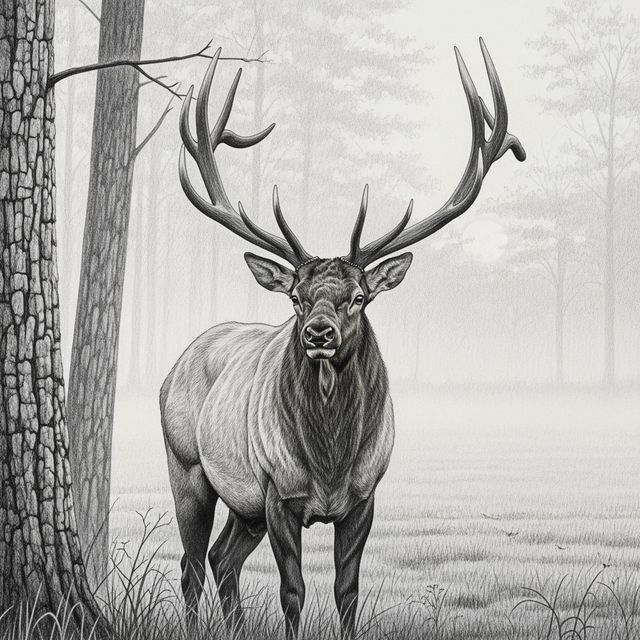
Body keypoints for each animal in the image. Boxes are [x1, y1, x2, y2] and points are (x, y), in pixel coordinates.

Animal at [160, 39, 525, 639]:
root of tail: (175, 365)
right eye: (295, 297)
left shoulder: (364, 495)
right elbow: (292, 593)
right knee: (191, 563)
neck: (329, 462)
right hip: (187, 466)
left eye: (359, 297)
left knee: (221, 558)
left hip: (243, 504)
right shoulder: (278, 491)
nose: (318, 333)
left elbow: (347, 591)